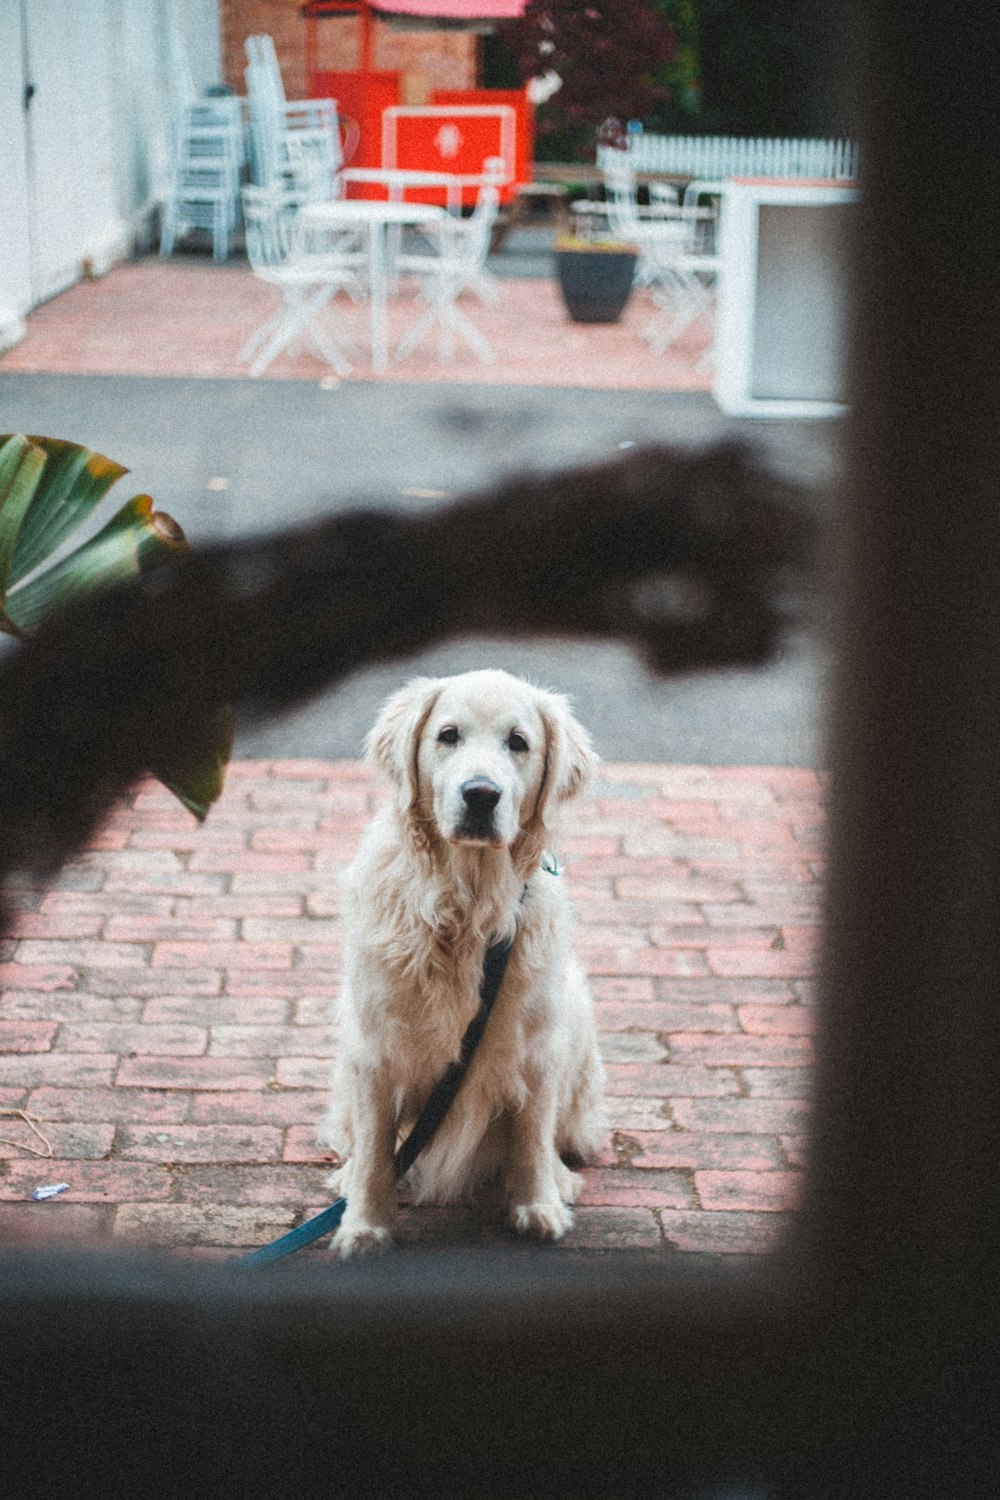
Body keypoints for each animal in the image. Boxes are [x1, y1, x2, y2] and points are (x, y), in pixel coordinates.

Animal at [319, 669, 602, 1254]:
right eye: (448, 735)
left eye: (518, 742)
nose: (481, 794)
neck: (466, 907)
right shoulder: (376, 1048)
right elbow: (377, 1148)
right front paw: (364, 1225)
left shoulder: (534, 1047)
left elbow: (532, 1136)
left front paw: (538, 1204)